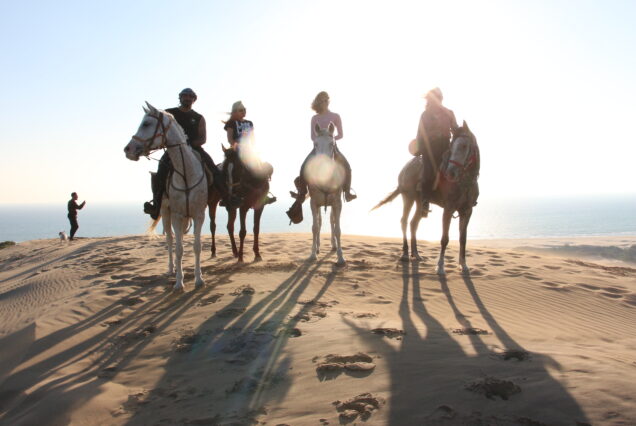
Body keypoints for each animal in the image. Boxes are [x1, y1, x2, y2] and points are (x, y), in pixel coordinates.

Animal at [124, 102, 208, 291]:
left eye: (146, 123)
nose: (128, 149)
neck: (186, 174)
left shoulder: (198, 214)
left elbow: (197, 246)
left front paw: (199, 279)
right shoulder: (176, 215)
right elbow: (178, 248)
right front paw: (179, 282)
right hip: (165, 210)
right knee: (170, 240)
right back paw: (171, 269)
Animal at [305, 123, 347, 266]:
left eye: (332, 144)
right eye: (315, 144)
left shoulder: (337, 204)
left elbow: (338, 229)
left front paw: (340, 257)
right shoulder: (313, 203)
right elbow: (314, 227)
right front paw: (312, 255)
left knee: (331, 220)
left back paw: (334, 246)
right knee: (319, 222)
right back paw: (318, 248)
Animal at [373, 121, 480, 275]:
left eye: (464, 146)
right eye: (452, 146)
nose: (450, 173)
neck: (464, 182)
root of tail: (405, 168)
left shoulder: (467, 210)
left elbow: (463, 239)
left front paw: (463, 266)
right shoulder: (448, 209)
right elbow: (444, 239)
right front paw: (440, 267)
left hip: (419, 201)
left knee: (413, 223)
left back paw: (416, 254)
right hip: (408, 197)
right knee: (404, 221)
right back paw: (405, 254)